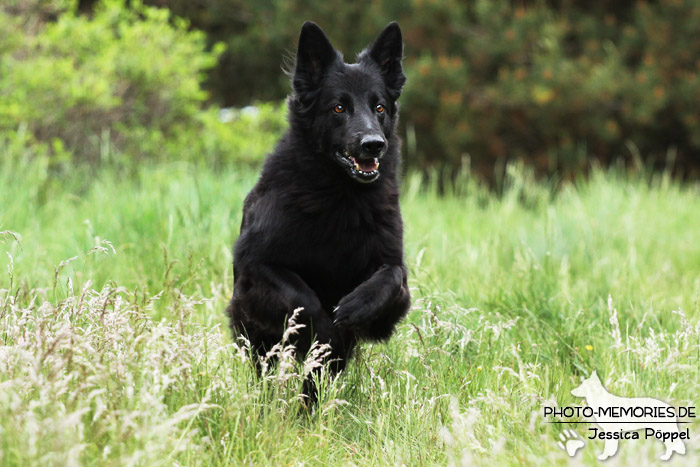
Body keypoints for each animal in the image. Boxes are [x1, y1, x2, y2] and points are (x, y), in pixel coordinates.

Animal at [224, 22, 410, 402]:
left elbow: (390, 276)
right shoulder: (257, 265)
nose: (374, 144)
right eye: (338, 108)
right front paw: (326, 328)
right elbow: (305, 299)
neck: (341, 196)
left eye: (379, 107)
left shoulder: (397, 275)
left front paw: (356, 306)